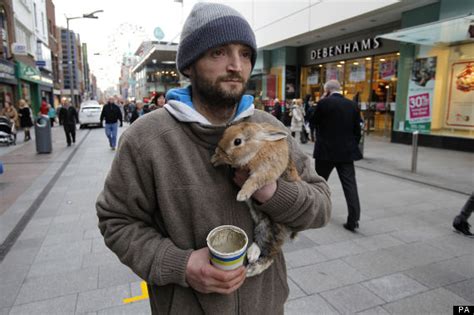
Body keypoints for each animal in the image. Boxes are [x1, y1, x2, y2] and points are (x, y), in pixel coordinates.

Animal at [211, 122, 300, 278]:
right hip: (261, 220)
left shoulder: (266, 171)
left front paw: (242, 195)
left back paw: (251, 270)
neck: (259, 148)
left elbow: (254, 181)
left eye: (237, 141)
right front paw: (215, 159)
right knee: (261, 237)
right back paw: (252, 254)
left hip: (276, 227)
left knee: (271, 252)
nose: (220, 149)